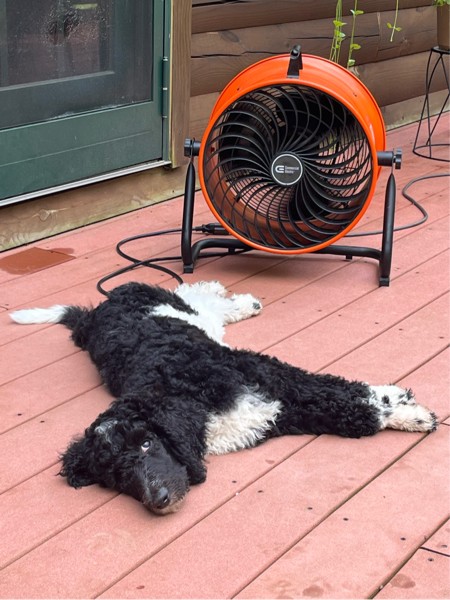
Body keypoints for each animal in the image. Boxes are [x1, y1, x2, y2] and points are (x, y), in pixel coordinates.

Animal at [10, 281, 438, 515]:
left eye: (147, 444)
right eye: (116, 475)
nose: (159, 499)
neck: (185, 396)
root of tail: (96, 312)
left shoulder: (269, 374)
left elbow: (343, 391)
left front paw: (402, 405)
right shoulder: (275, 413)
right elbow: (344, 412)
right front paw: (405, 412)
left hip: (173, 306)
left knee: (190, 293)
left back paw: (228, 294)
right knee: (206, 307)